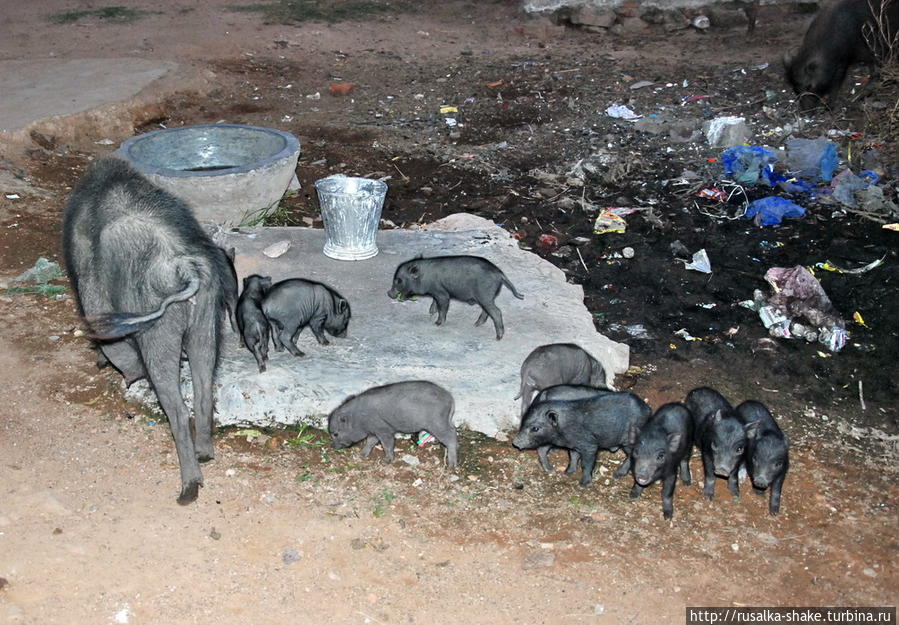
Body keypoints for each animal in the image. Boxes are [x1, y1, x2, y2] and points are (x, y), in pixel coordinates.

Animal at [62, 158, 234, 504]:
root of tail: (184, 268)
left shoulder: (93, 295)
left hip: (159, 335)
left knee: (177, 409)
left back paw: (188, 490)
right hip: (206, 321)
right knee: (204, 390)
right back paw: (205, 454)